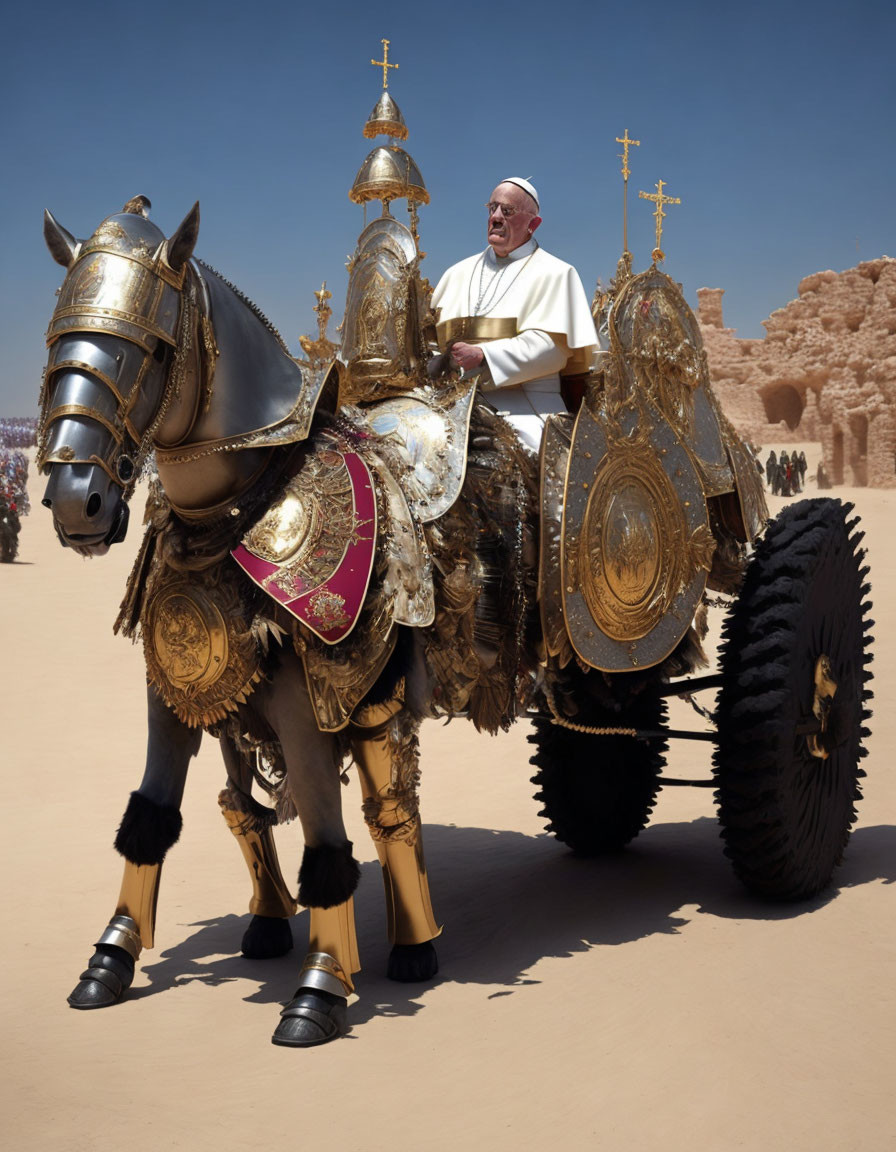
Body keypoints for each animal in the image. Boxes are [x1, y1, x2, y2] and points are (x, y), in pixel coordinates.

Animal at [38, 198, 534, 1046]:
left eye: (151, 350)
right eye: (57, 341)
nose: (77, 502)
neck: (237, 506)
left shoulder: (311, 708)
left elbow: (328, 847)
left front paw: (319, 990)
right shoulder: (171, 694)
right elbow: (154, 814)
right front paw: (108, 961)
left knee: (386, 813)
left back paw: (410, 946)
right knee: (301, 807)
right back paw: (312, 927)